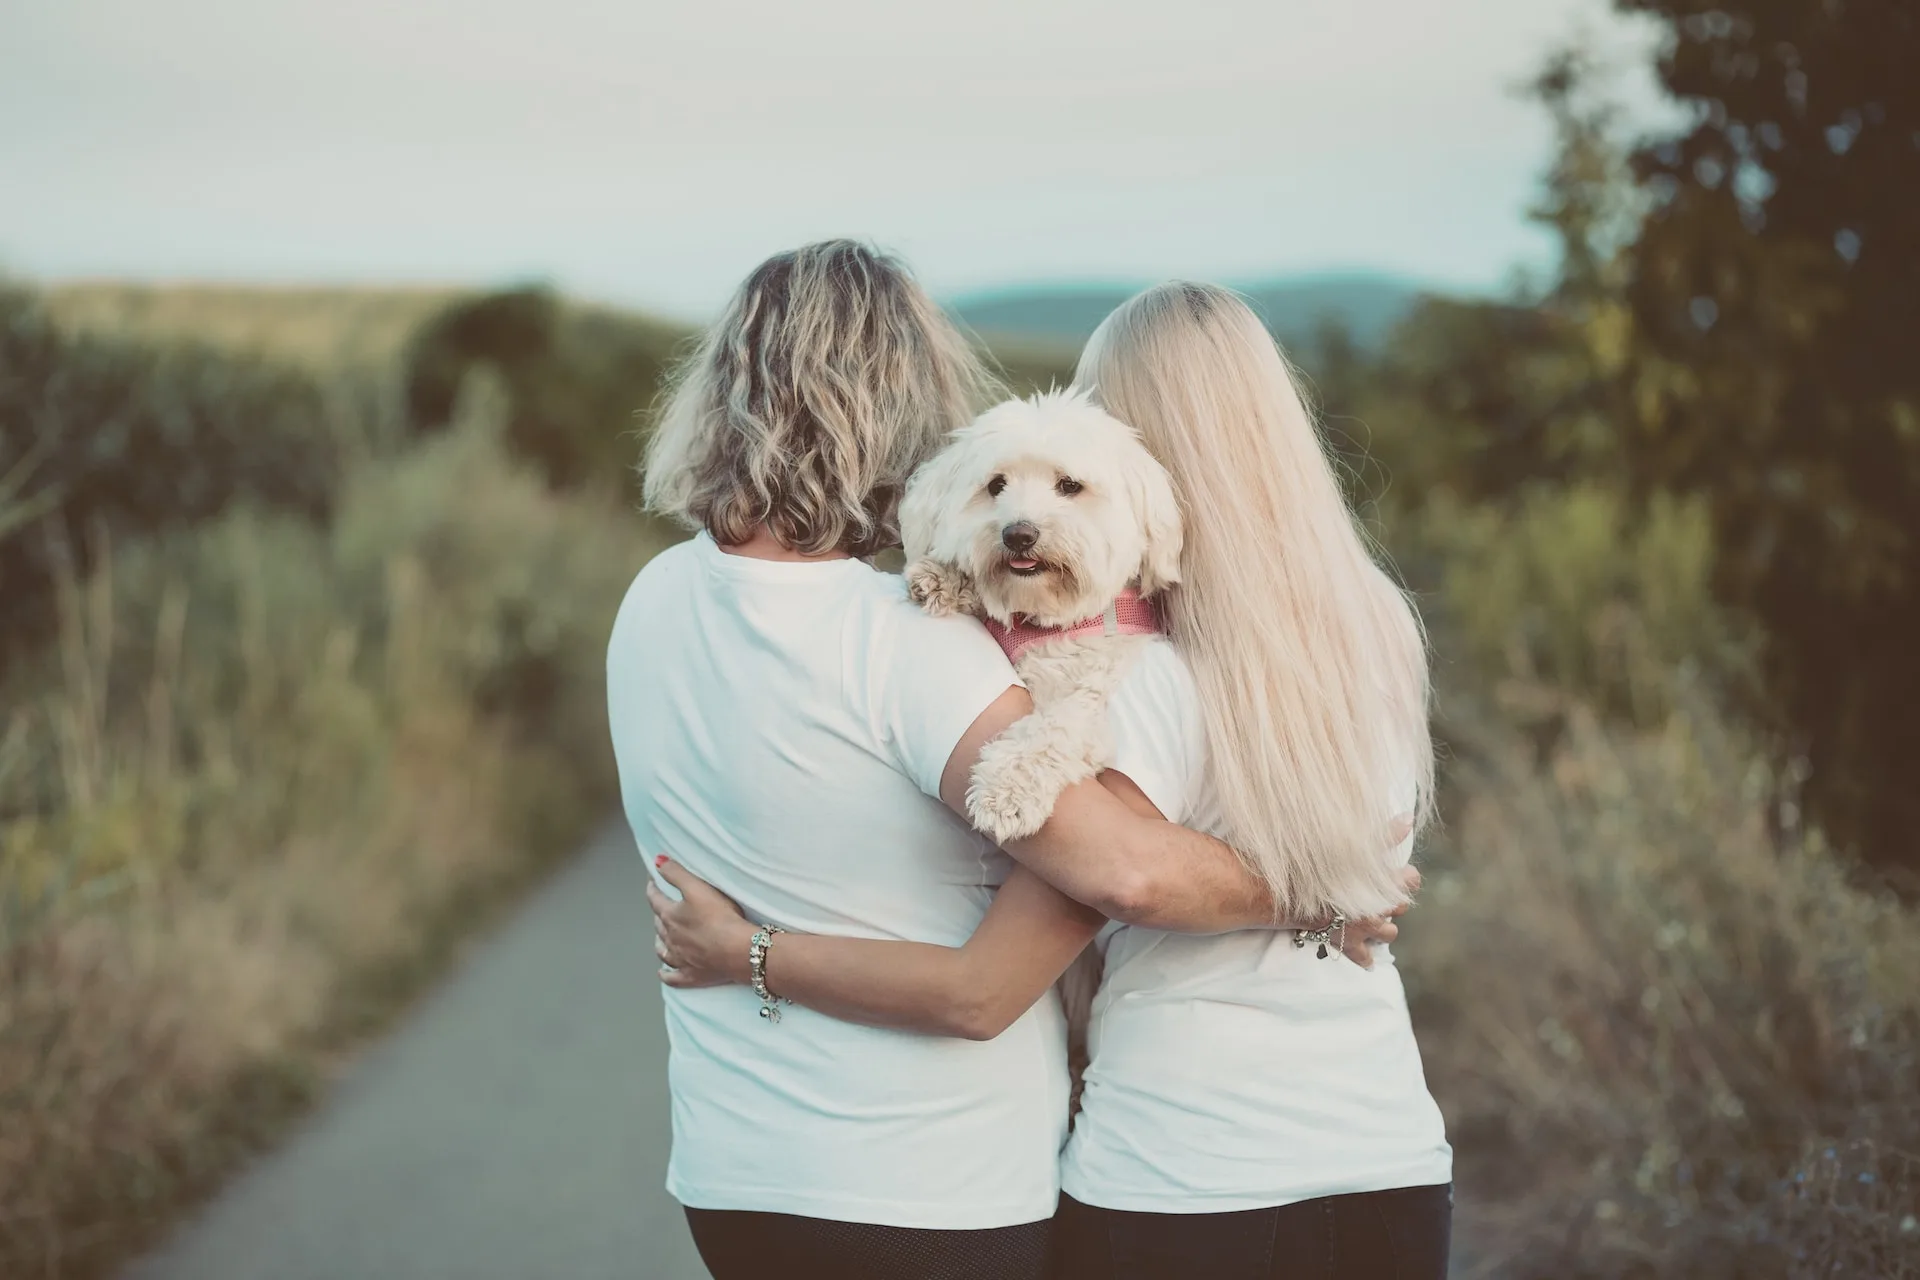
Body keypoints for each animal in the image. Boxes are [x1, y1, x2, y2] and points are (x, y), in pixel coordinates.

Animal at [898, 395, 1182, 844]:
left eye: (1069, 485)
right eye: (996, 485)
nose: (1018, 534)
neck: (1045, 619)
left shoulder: (1091, 701)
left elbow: (1054, 730)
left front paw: (1004, 791)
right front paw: (943, 578)